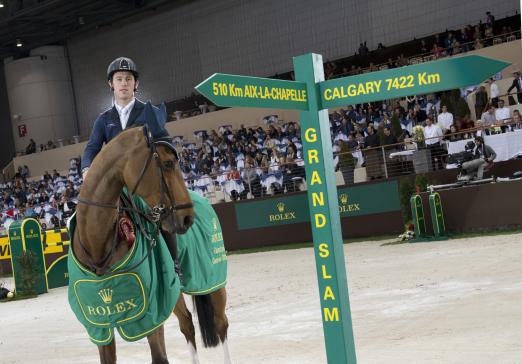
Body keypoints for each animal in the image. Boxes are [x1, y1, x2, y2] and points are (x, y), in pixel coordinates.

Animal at [72, 125, 230, 364]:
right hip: (173, 293)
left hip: (212, 282)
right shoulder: (100, 327)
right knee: (187, 324)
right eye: (168, 163)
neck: (98, 245)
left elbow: (159, 358)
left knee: (221, 324)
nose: (187, 218)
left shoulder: (151, 316)